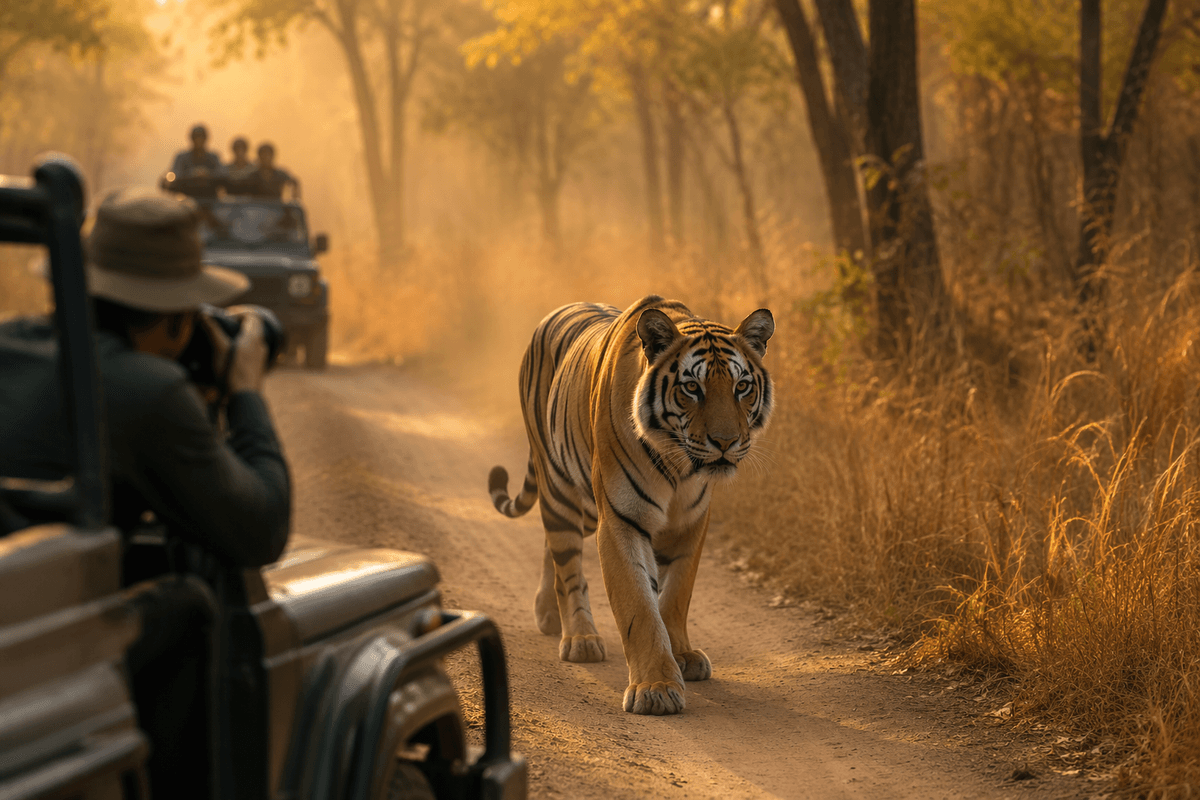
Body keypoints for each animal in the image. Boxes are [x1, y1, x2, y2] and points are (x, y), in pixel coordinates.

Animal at [488, 295, 775, 715]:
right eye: (692, 387)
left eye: (742, 387)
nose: (725, 442)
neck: (680, 467)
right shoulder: (621, 520)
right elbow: (639, 606)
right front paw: (655, 688)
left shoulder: (691, 523)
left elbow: (676, 595)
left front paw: (683, 655)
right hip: (560, 489)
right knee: (566, 565)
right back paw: (579, 638)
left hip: (587, 506)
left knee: (550, 549)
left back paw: (548, 614)